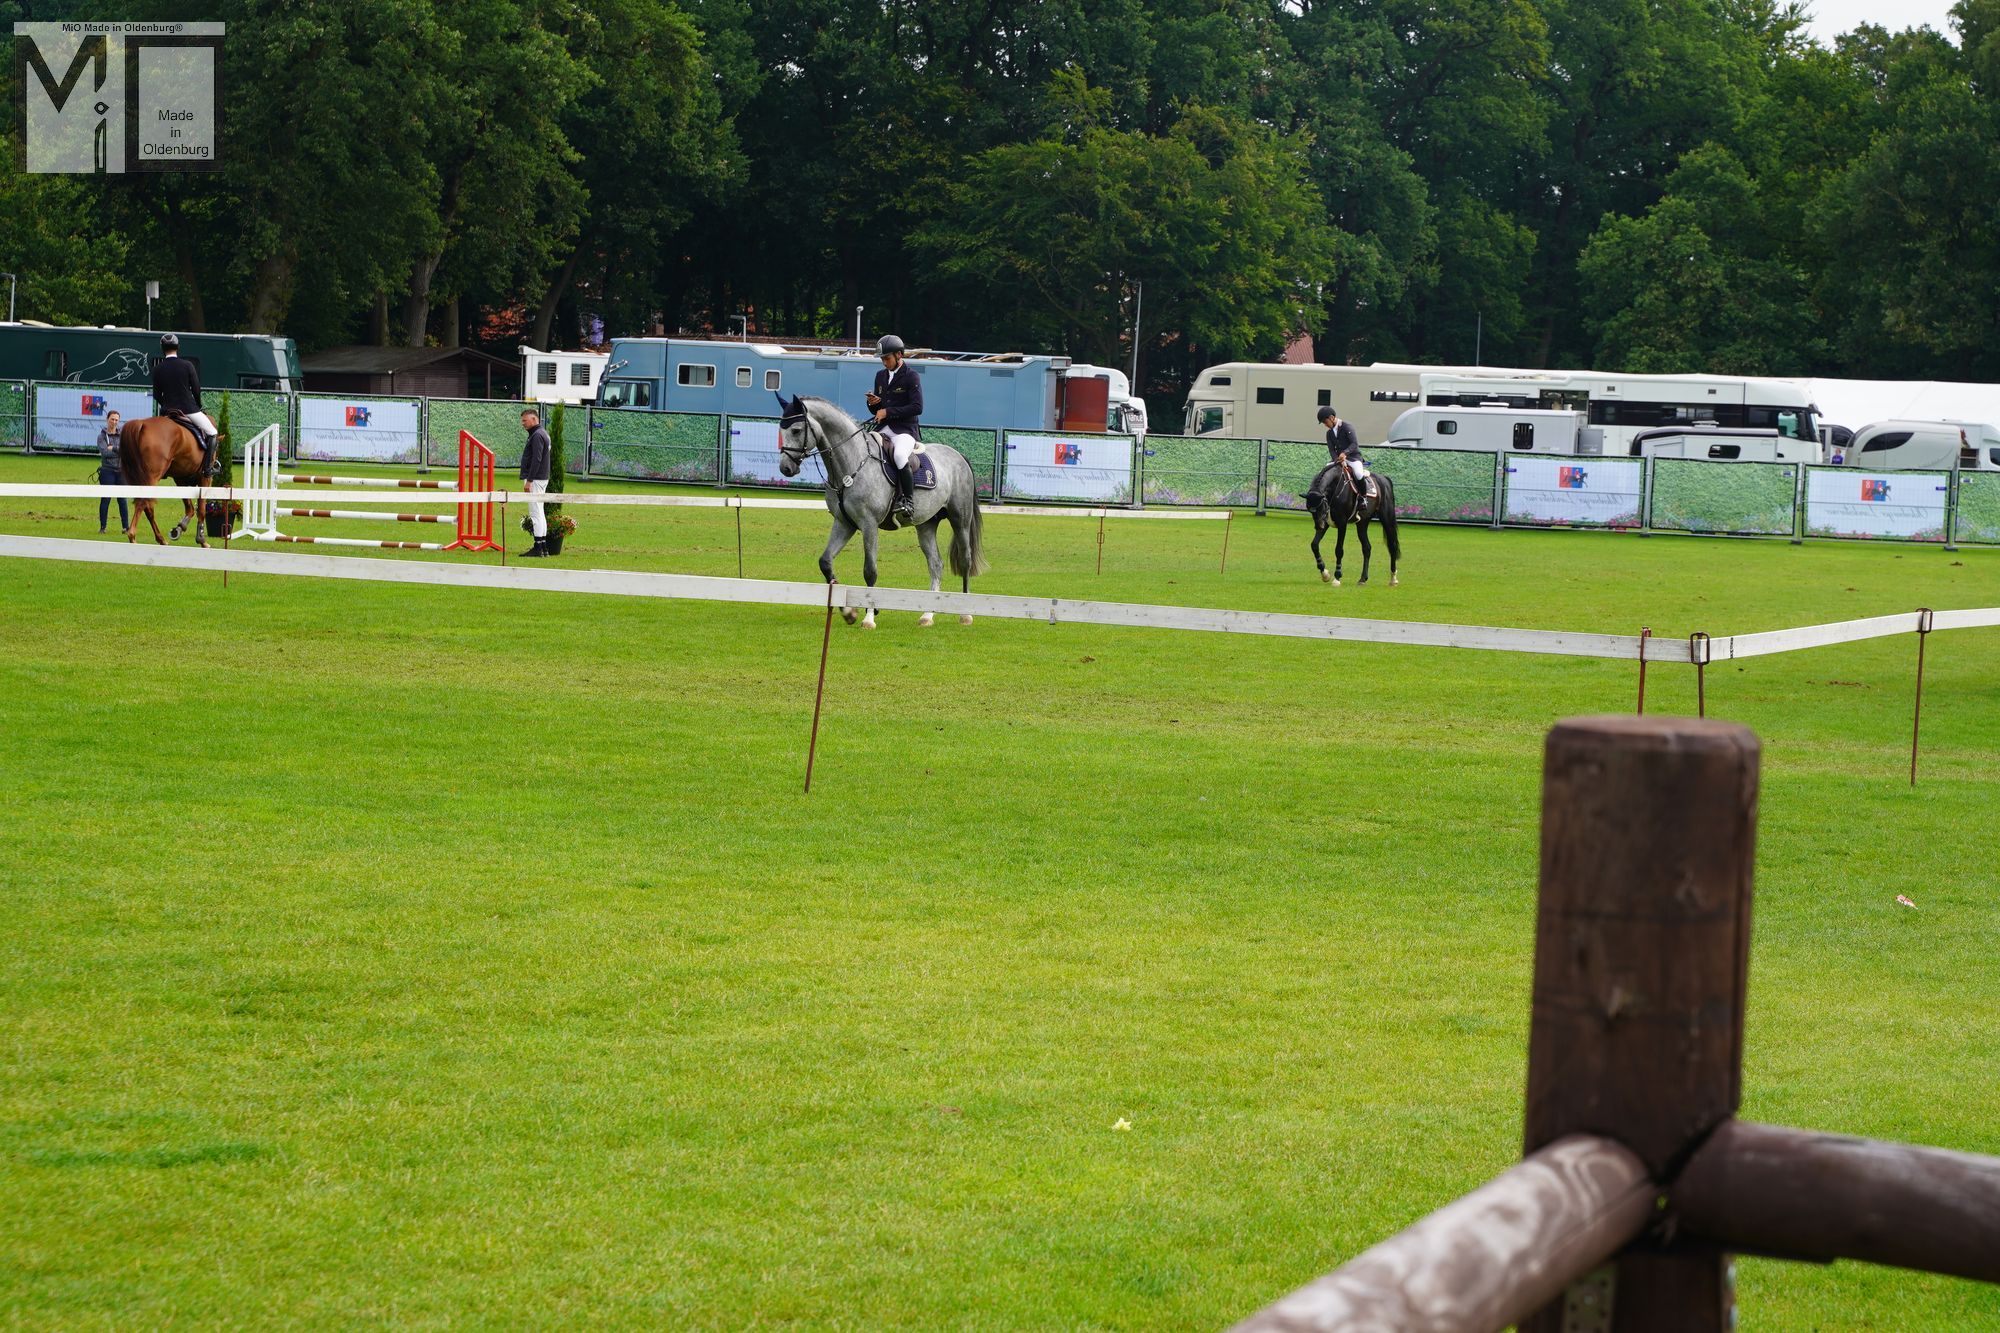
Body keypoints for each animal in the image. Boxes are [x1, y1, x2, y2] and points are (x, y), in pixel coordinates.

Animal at [118, 412, 208, 544]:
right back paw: (132, 536)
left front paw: (179, 528)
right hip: (152, 477)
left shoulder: (180, 478)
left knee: (148, 507)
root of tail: (141, 423)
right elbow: (201, 508)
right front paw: (201, 539)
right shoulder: (205, 476)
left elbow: (190, 507)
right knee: (143, 503)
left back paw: (161, 539)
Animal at [772, 390, 984, 628]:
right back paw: (927, 615)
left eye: (796, 430)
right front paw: (849, 612)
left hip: (960, 519)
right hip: (926, 524)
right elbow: (825, 562)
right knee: (935, 564)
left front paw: (869, 617)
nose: (786, 468)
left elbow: (870, 570)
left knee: (965, 560)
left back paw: (965, 614)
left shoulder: (869, 524)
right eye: (781, 429)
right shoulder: (844, 523)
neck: (851, 463)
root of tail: (958, 456)